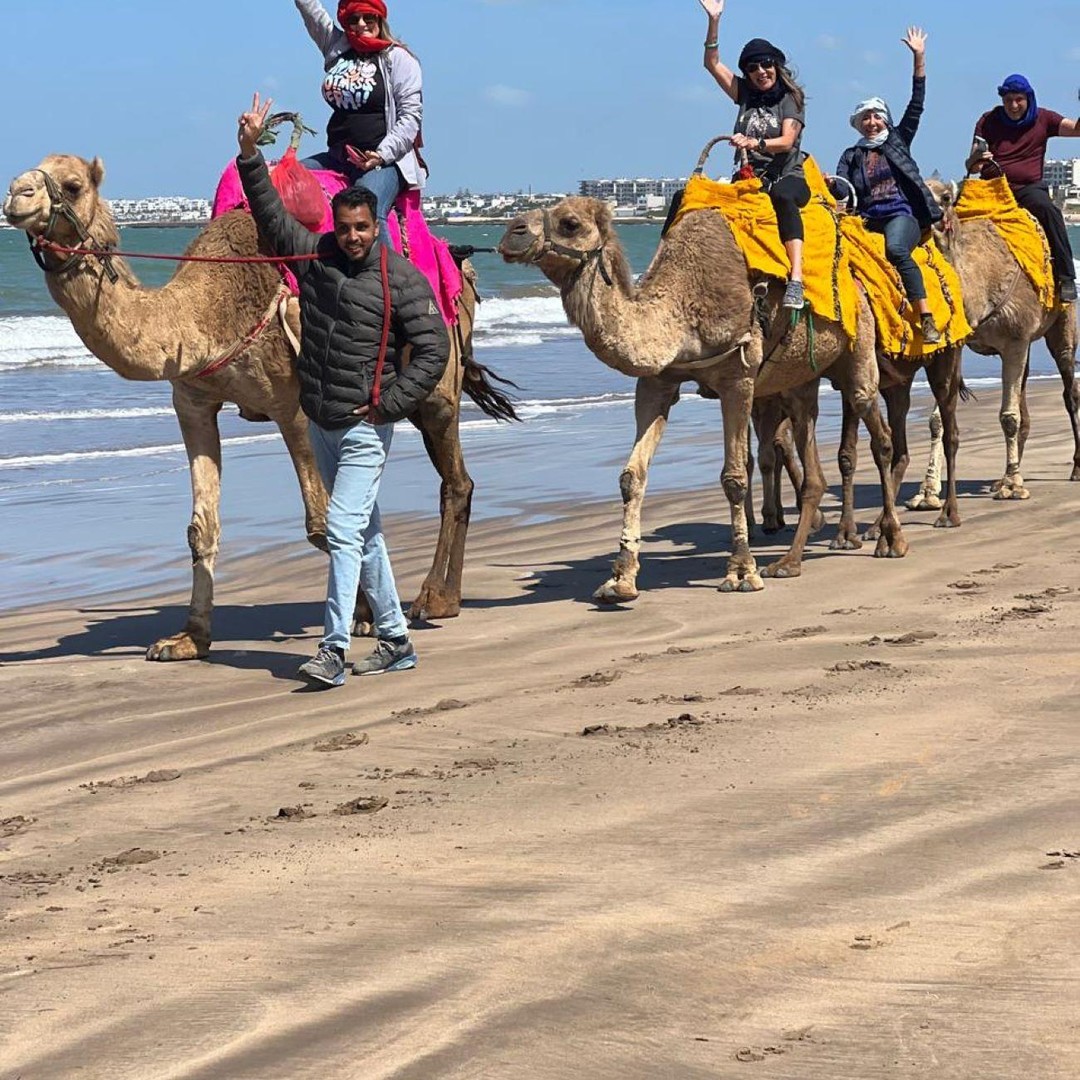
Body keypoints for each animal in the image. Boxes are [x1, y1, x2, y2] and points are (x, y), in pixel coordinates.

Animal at [3, 154, 516, 660]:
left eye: (72, 185)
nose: (15, 195)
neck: (206, 314)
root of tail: (461, 268)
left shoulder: (295, 408)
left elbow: (320, 521)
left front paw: (362, 616)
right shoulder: (192, 403)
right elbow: (202, 527)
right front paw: (188, 638)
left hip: (438, 390)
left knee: (455, 482)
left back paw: (436, 599)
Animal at [498, 195, 908, 602]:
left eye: (570, 223)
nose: (511, 233)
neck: (680, 310)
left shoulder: (738, 376)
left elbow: (734, 477)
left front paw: (741, 571)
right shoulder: (657, 383)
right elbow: (632, 476)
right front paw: (621, 579)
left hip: (858, 350)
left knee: (879, 432)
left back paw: (889, 539)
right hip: (799, 381)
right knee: (814, 467)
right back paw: (788, 562)